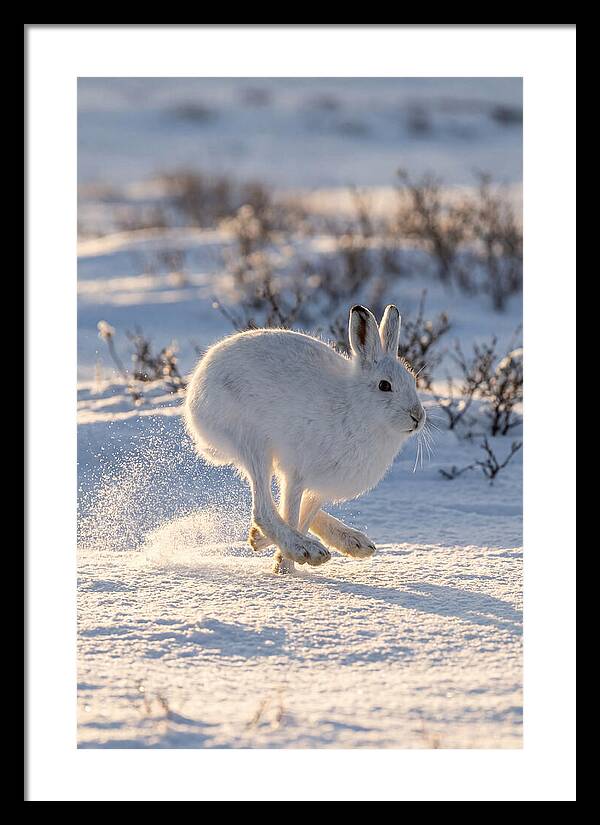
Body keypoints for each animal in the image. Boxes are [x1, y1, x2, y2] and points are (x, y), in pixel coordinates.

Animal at [183, 304, 425, 573]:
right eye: (384, 385)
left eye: (413, 381)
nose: (418, 416)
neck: (355, 407)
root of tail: (195, 390)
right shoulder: (298, 473)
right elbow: (291, 513)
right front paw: (287, 567)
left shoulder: (320, 486)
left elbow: (304, 515)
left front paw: (278, 558)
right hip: (253, 442)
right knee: (263, 509)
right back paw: (304, 548)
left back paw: (352, 542)